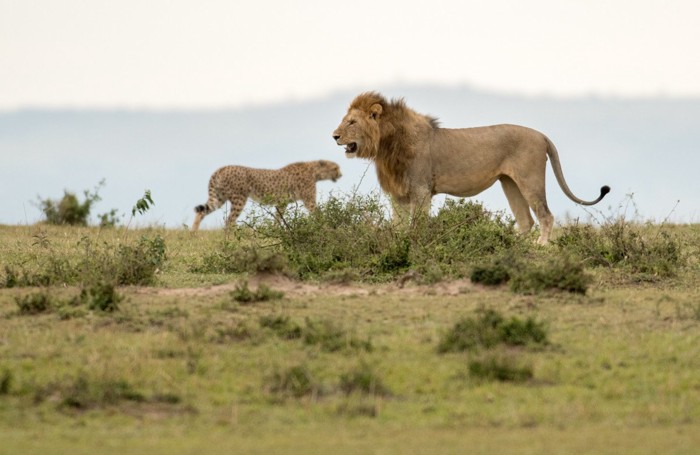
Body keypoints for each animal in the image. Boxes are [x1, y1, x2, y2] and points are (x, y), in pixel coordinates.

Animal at [190, 160, 344, 232]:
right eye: (335, 168)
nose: (341, 175)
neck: (314, 171)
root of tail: (222, 168)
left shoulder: (282, 202)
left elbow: (277, 218)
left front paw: (276, 230)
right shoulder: (309, 201)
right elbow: (319, 214)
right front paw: (327, 226)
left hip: (219, 198)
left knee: (202, 212)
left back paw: (193, 234)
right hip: (239, 199)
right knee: (229, 221)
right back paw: (231, 239)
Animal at [330, 92, 608, 246]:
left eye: (352, 122)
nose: (334, 136)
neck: (386, 146)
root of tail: (542, 135)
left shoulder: (421, 190)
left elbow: (417, 224)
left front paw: (412, 243)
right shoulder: (397, 193)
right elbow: (397, 224)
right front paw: (396, 242)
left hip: (530, 179)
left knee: (545, 215)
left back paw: (540, 245)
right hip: (510, 183)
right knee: (526, 220)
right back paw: (507, 243)